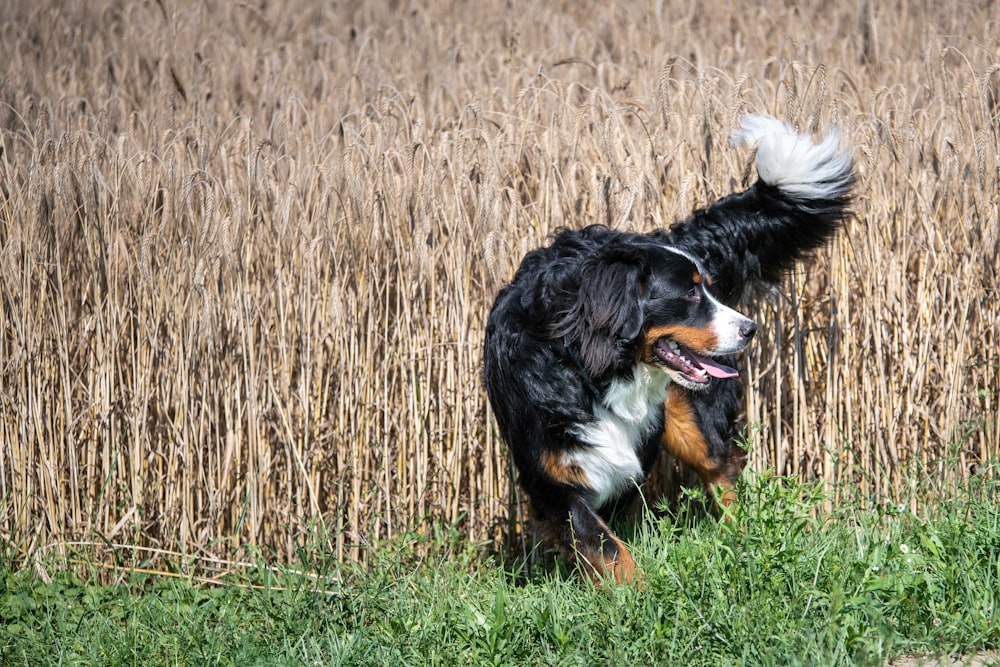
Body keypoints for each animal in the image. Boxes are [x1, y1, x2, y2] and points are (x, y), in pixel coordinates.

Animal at [482, 115, 852, 584]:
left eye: (708, 289)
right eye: (690, 295)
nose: (749, 329)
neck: (589, 367)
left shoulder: (630, 457)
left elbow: (613, 539)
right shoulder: (551, 476)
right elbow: (604, 543)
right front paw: (631, 590)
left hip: (693, 420)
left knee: (722, 471)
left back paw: (745, 541)